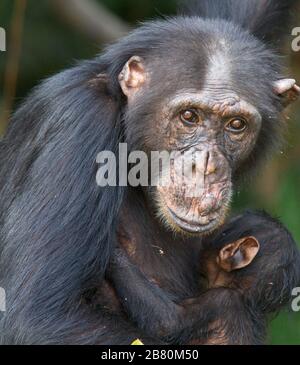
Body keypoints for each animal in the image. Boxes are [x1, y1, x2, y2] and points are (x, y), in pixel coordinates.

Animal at [109, 210, 300, 344]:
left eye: (224, 229)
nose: (213, 227)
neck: (242, 292)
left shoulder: (221, 300)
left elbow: (167, 322)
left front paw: (115, 254)